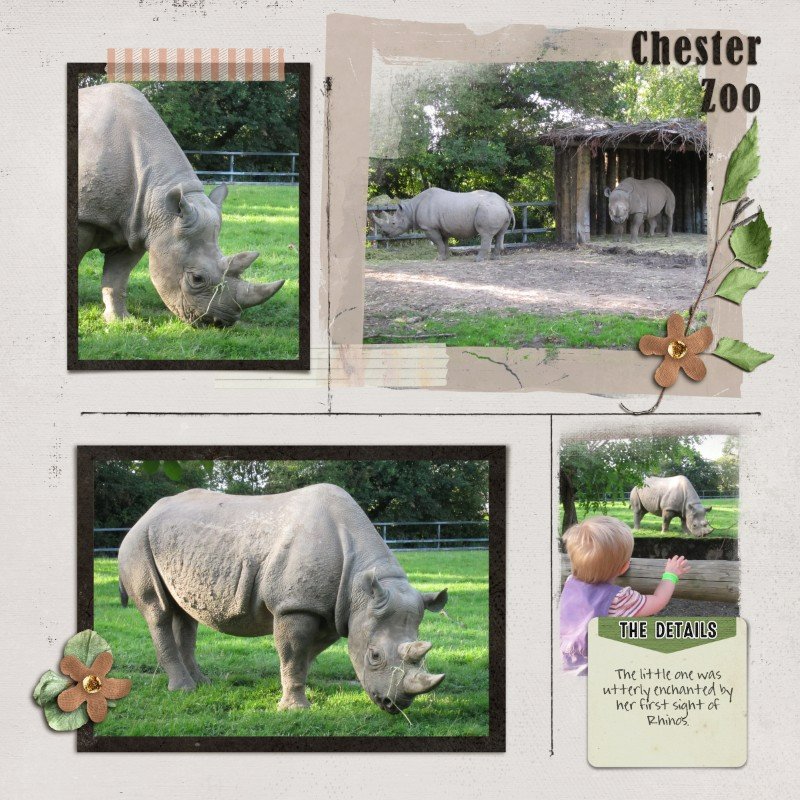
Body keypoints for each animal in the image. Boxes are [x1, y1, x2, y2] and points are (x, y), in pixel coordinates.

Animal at [78, 83, 284, 326]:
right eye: (196, 278)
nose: (220, 322)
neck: (158, 202)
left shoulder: (135, 227)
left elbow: (117, 277)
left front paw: (120, 321)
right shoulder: (86, 220)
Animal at [117, 484, 449, 714]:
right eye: (375, 656)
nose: (395, 705)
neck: (361, 587)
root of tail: (144, 515)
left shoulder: (333, 609)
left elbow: (306, 654)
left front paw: (298, 693)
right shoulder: (295, 606)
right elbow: (293, 652)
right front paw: (295, 709)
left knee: (184, 614)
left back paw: (201, 684)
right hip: (137, 543)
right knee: (157, 610)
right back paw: (183, 690)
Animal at [371, 187, 515, 262]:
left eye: (393, 223)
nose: (384, 234)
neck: (410, 210)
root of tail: (504, 202)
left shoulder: (429, 227)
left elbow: (438, 243)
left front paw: (438, 259)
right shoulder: (441, 228)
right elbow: (444, 242)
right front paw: (446, 257)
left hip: (489, 209)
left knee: (485, 234)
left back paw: (477, 260)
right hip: (497, 208)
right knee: (500, 234)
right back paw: (495, 258)